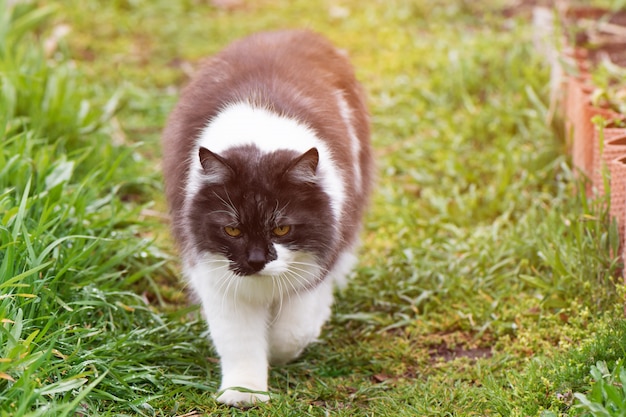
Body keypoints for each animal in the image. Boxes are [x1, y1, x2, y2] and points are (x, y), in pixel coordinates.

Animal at [161, 30, 372, 406]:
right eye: (233, 229)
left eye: (282, 228)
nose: (257, 260)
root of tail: (295, 32)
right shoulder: (216, 278)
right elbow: (239, 342)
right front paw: (244, 394)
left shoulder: (316, 264)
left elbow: (292, 330)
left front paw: (280, 349)